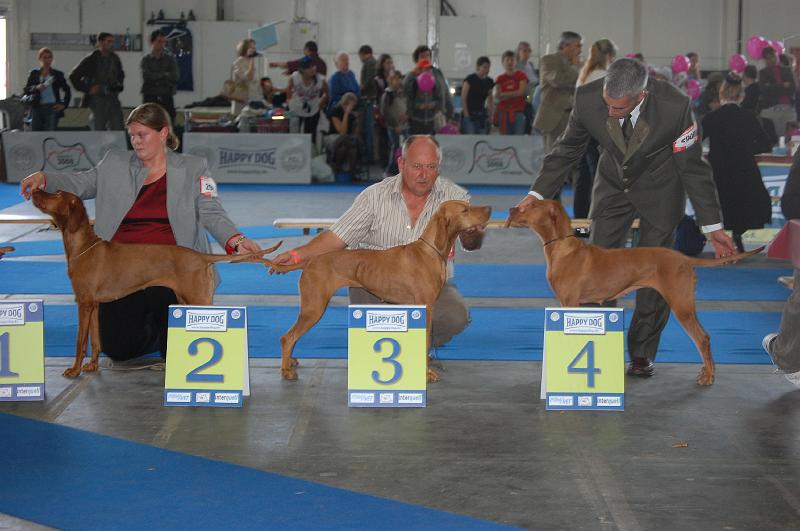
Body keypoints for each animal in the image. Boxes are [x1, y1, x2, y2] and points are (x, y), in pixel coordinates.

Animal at [32, 190, 282, 378]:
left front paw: (74, 370)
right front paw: (92, 365)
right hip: (188, 299)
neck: (84, 247)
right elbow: (95, 340)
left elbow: (79, 342)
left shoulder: (83, 303)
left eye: (56, 193)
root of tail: (201, 256)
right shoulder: (93, 304)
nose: (34, 189)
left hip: (198, 297)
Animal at [262, 201, 490, 382]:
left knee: (293, 336)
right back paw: (285, 370)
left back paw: (290, 361)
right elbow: (424, 344)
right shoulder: (425, 308)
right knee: (288, 337)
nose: (489, 209)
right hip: (314, 307)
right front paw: (426, 374)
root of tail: (310, 261)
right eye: (465, 209)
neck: (430, 251)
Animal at [506, 200, 764, 386]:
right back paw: (707, 371)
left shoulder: (569, 302)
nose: (511, 209)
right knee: (705, 337)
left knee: (702, 337)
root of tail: (683, 257)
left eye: (531, 206)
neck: (562, 247)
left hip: (681, 304)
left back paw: (708, 376)